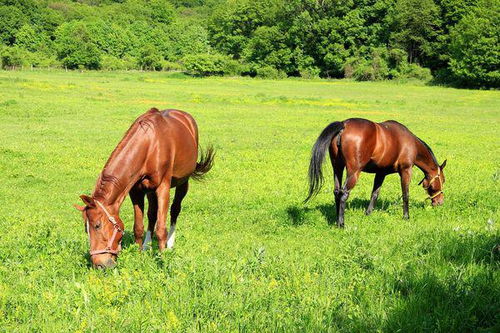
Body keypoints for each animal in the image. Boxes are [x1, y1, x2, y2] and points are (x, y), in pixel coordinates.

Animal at [74, 107, 215, 268]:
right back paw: (148, 246)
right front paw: (139, 254)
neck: (150, 145)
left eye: (97, 225)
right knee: (152, 214)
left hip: (182, 183)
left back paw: (170, 244)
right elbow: (139, 227)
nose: (99, 264)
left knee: (175, 210)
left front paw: (163, 260)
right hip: (150, 191)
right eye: (86, 229)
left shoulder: (162, 188)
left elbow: (161, 229)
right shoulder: (136, 191)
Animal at [304, 118, 446, 227]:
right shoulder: (405, 171)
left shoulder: (381, 173)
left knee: (337, 192)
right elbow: (405, 194)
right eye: (443, 180)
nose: (440, 202)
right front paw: (406, 216)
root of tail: (344, 125)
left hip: (338, 167)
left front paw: (368, 213)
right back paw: (341, 224)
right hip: (353, 172)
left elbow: (375, 194)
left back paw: (336, 219)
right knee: (344, 193)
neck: (410, 143)